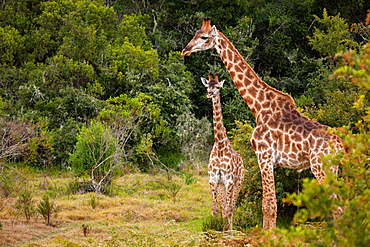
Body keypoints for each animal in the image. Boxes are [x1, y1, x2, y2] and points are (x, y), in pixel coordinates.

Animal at [202, 71, 246, 232]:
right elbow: (216, 210)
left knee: (231, 208)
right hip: (222, 186)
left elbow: (228, 210)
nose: (209, 94)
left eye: (218, 87)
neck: (220, 145)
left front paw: (227, 233)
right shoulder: (213, 179)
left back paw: (231, 231)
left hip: (238, 183)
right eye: (207, 85)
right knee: (225, 208)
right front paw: (215, 230)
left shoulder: (229, 180)